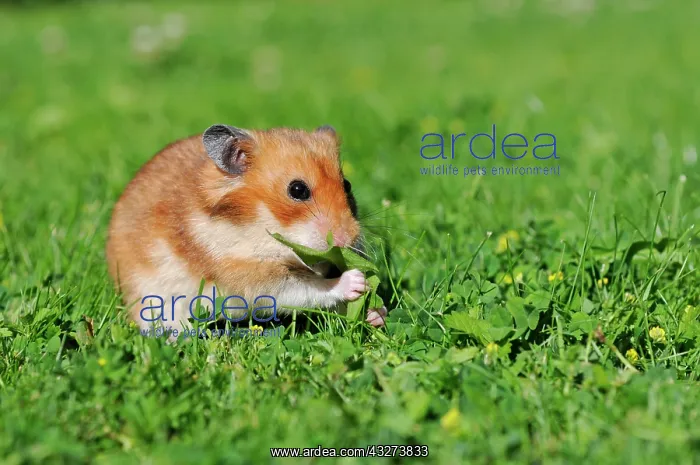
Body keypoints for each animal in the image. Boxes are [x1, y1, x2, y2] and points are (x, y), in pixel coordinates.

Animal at [105, 124, 387, 336]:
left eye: (347, 185)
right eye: (297, 190)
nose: (347, 240)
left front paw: (376, 313)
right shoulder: (246, 275)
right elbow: (308, 288)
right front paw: (356, 280)